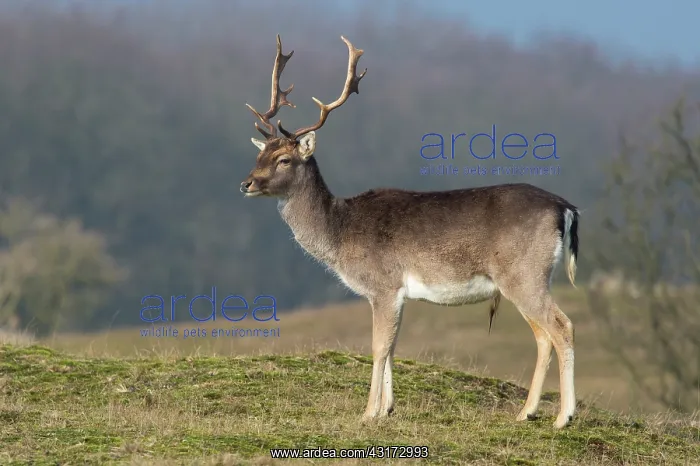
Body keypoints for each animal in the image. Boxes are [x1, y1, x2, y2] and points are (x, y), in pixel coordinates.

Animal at [240, 34, 581, 429]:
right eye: (259, 155)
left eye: (284, 159)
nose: (247, 183)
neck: (340, 234)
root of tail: (566, 208)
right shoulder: (397, 293)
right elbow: (392, 346)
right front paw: (387, 408)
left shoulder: (383, 284)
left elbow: (378, 346)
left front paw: (368, 413)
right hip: (531, 278)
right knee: (543, 335)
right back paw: (526, 412)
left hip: (524, 274)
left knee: (561, 326)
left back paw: (563, 417)